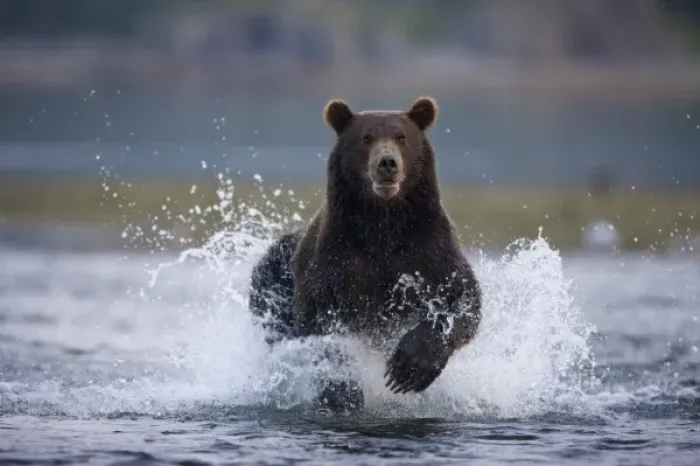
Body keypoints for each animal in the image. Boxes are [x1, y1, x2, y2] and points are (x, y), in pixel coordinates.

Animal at [249, 96, 482, 413]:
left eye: (402, 137)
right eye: (366, 138)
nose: (387, 163)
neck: (381, 227)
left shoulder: (429, 252)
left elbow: (462, 301)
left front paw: (408, 368)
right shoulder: (332, 263)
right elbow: (319, 324)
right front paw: (343, 390)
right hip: (271, 285)